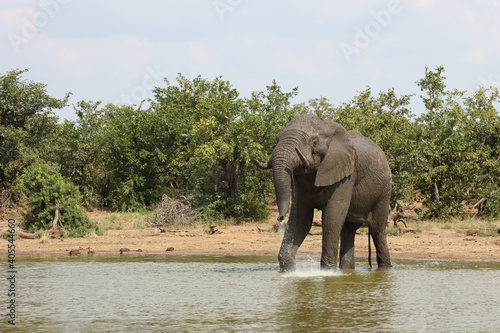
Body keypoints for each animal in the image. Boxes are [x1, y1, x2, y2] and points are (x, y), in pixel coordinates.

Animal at [256, 113, 392, 270]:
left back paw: (385, 268)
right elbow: (301, 218)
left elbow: (331, 216)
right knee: (348, 231)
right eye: (276, 139)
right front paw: (289, 270)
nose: (280, 218)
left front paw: (327, 271)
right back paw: (346, 270)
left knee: (377, 231)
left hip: (384, 192)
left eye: (314, 142)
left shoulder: (346, 175)